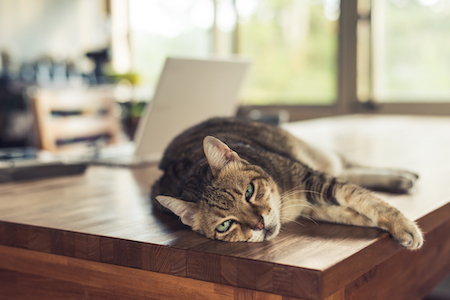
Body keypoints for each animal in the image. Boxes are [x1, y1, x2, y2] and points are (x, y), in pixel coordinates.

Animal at [153, 116, 424, 248]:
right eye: (225, 225)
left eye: (249, 191)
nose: (260, 224)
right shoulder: (313, 205)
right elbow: (352, 211)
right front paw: (390, 226)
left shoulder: (312, 177)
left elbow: (365, 199)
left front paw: (405, 226)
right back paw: (402, 180)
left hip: (316, 155)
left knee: (347, 165)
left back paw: (404, 175)